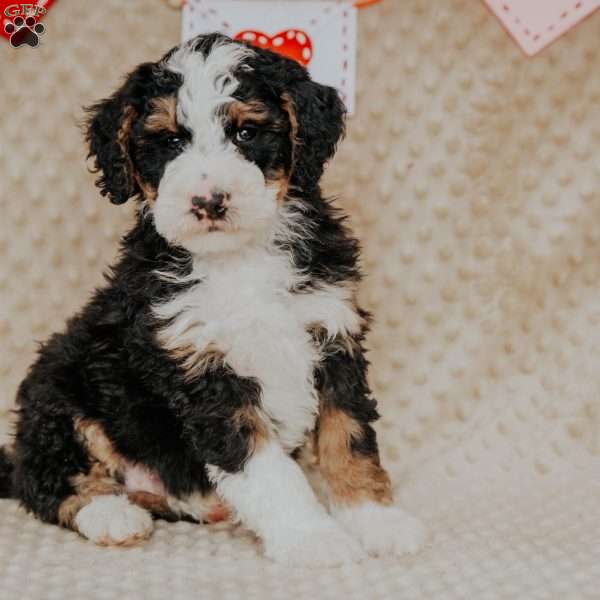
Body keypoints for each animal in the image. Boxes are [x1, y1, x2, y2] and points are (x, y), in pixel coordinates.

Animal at [0, 32, 426, 568]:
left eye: (245, 133)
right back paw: (112, 515)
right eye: (170, 141)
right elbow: (266, 468)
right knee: (42, 479)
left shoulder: (333, 336)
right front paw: (312, 537)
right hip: (58, 392)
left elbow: (348, 440)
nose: (208, 201)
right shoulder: (203, 372)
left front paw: (377, 520)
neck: (239, 258)